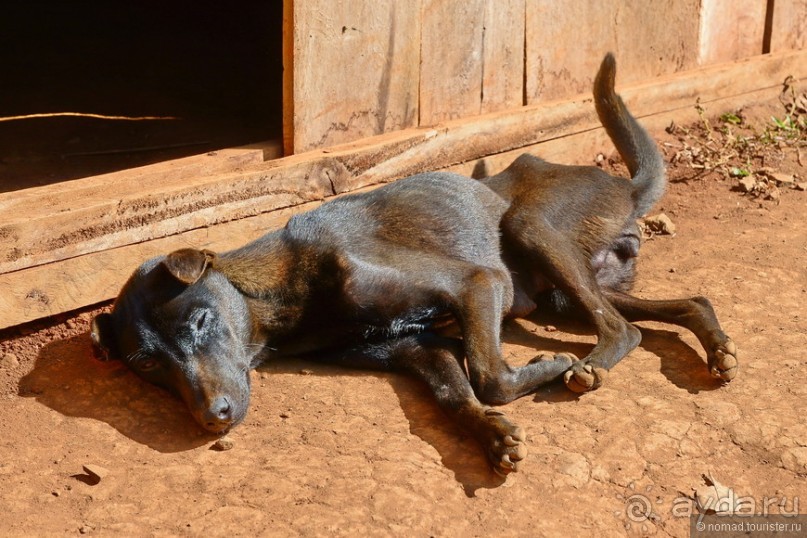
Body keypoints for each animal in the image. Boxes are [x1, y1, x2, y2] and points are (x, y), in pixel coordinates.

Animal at [90, 54, 740, 474]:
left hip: (532, 233)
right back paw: (717, 348)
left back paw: (588, 366)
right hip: (564, 290)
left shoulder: (477, 282)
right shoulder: (416, 348)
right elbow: (458, 392)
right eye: (147, 365)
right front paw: (491, 435)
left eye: (200, 322)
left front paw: (546, 368)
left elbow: (490, 374)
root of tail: (624, 185)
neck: (287, 293)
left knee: (623, 329)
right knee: (679, 304)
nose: (214, 418)